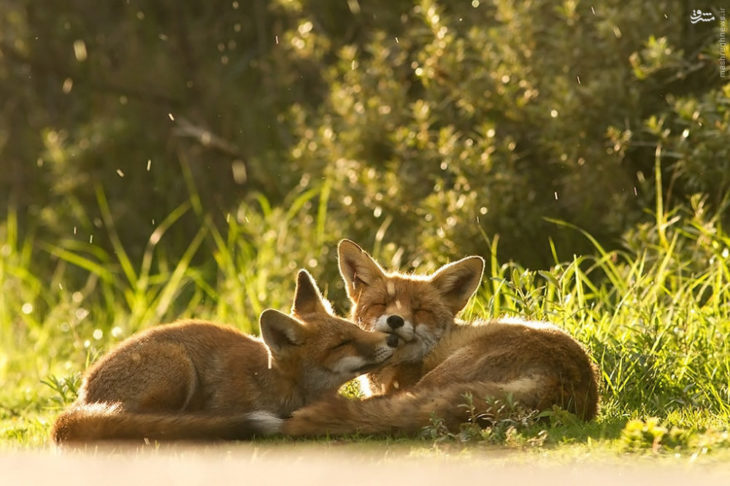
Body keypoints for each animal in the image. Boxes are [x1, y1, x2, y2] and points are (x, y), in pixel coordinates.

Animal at [49, 270, 398, 444]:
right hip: (177, 365)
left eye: (356, 329)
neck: (273, 382)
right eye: (343, 343)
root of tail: (82, 398)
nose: (393, 338)